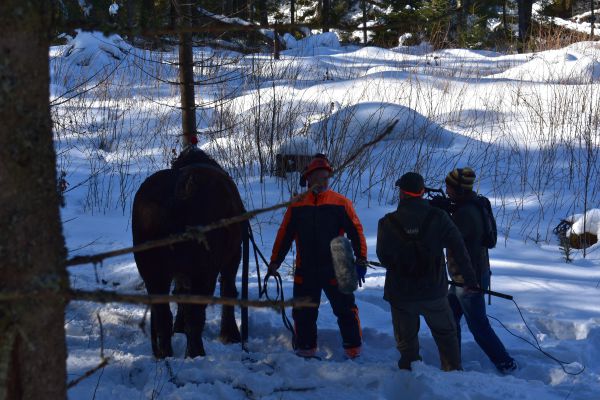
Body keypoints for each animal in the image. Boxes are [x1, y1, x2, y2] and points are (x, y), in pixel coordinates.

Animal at [132, 145, 244, 358]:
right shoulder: (232, 257)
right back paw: (196, 353)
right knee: (196, 313)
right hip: (203, 271)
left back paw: (166, 353)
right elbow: (228, 290)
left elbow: (179, 294)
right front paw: (230, 333)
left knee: (162, 314)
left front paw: (179, 327)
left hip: (152, 271)